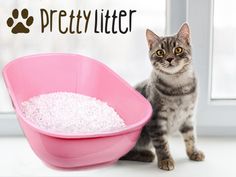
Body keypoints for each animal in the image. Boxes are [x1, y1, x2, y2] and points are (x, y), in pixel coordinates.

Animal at [121, 22, 204, 171]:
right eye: (160, 52)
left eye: (178, 49)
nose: (169, 59)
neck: (178, 86)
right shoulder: (156, 119)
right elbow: (161, 143)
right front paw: (165, 160)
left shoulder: (188, 116)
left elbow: (190, 137)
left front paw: (193, 152)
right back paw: (146, 155)